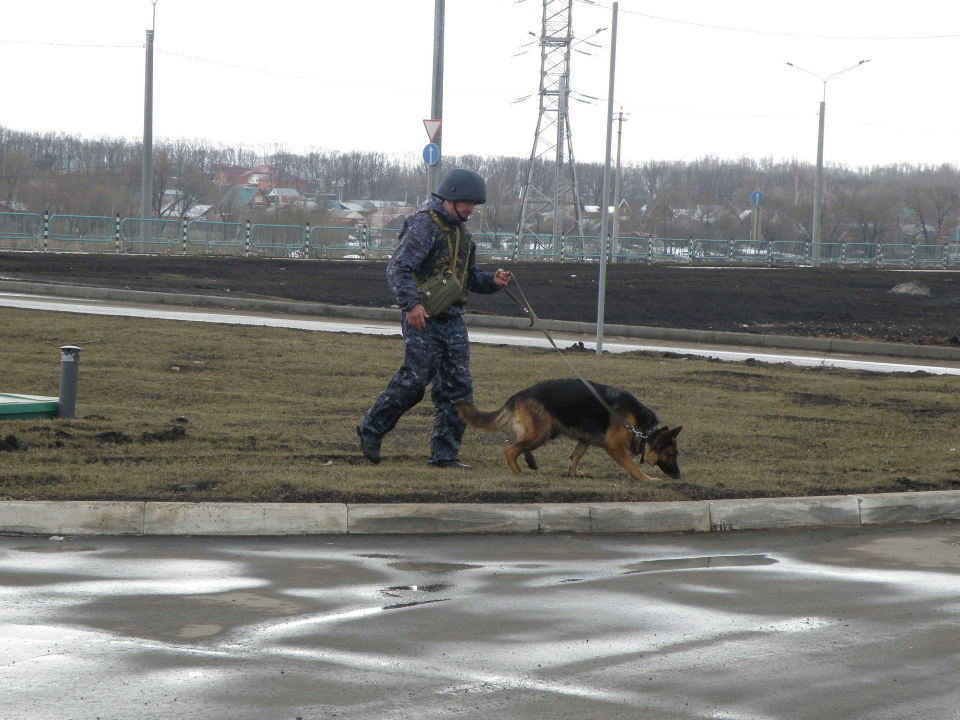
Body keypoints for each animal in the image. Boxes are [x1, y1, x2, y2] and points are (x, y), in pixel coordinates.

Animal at [458, 380, 684, 480]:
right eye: (671, 454)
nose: (679, 477)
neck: (644, 430)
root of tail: (519, 394)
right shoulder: (615, 447)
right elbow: (632, 466)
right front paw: (646, 479)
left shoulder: (585, 440)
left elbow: (576, 456)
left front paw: (573, 472)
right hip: (542, 433)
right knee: (509, 450)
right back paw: (517, 471)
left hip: (542, 432)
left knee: (519, 445)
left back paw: (529, 461)